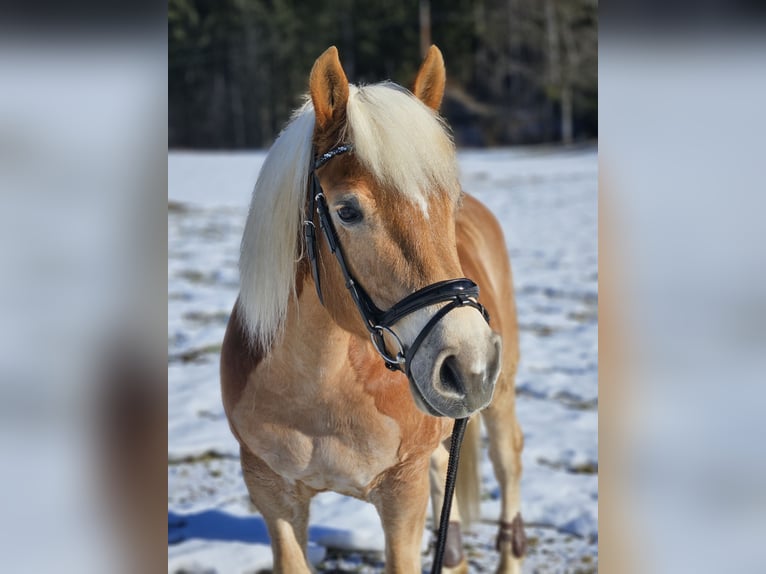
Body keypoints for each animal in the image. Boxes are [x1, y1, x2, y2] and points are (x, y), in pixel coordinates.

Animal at [219, 46, 524, 574]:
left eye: (451, 204)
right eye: (348, 211)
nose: (470, 366)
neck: (320, 386)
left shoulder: (401, 494)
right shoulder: (271, 494)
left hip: (500, 395)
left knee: (510, 460)